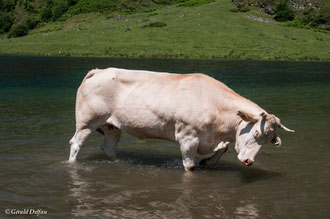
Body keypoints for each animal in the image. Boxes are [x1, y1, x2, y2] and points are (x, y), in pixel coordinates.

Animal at [69, 67, 294, 170]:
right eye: (256, 132)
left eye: (269, 140)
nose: (248, 161)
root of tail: (99, 70)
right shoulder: (188, 137)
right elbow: (190, 165)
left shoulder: (211, 138)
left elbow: (223, 149)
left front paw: (209, 162)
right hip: (87, 122)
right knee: (76, 143)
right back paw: (72, 163)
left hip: (112, 125)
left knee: (108, 146)